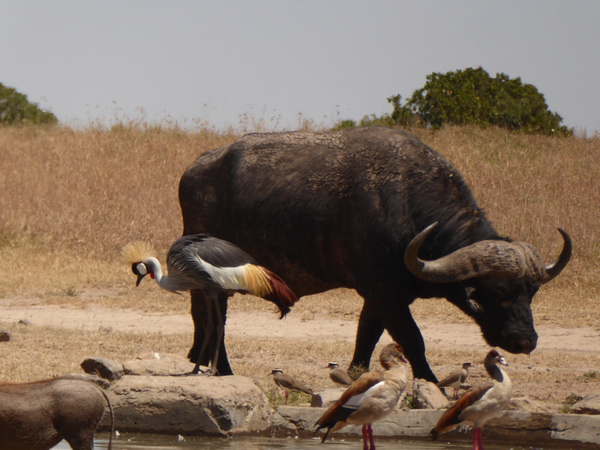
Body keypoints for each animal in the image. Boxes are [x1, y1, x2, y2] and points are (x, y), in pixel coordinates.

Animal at [177, 125, 572, 380]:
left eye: (531, 292)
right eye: (495, 292)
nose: (524, 340)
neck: (407, 207)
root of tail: (194, 171)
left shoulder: (382, 295)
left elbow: (366, 335)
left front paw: (355, 376)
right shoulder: (385, 293)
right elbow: (413, 339)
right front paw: (430, 383)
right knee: (213, 318)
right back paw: (222, 368)